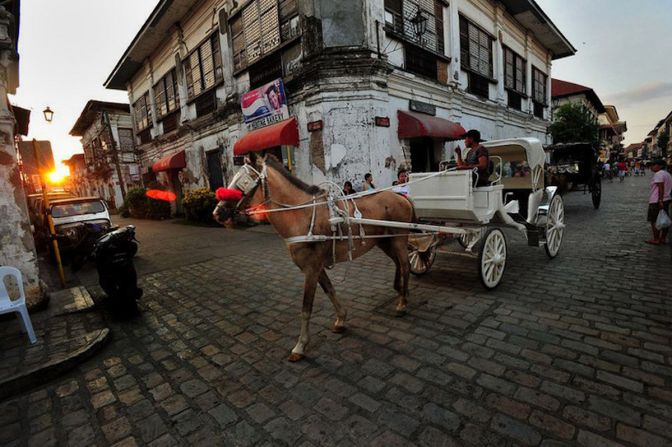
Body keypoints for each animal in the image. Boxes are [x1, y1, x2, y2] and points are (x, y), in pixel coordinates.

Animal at [214, 152, 414, 362]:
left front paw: (300, 346)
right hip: (385, 242)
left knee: (405, 265)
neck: (302, 215)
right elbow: (330, 290)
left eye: (244, 181)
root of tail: (400, 196)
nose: (218, 213)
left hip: (399, 240)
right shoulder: (316, 267)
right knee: (398, 263)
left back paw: (402, 304)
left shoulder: (311, 269)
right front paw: (341, 319)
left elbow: (306, 307)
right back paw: (400, 290)